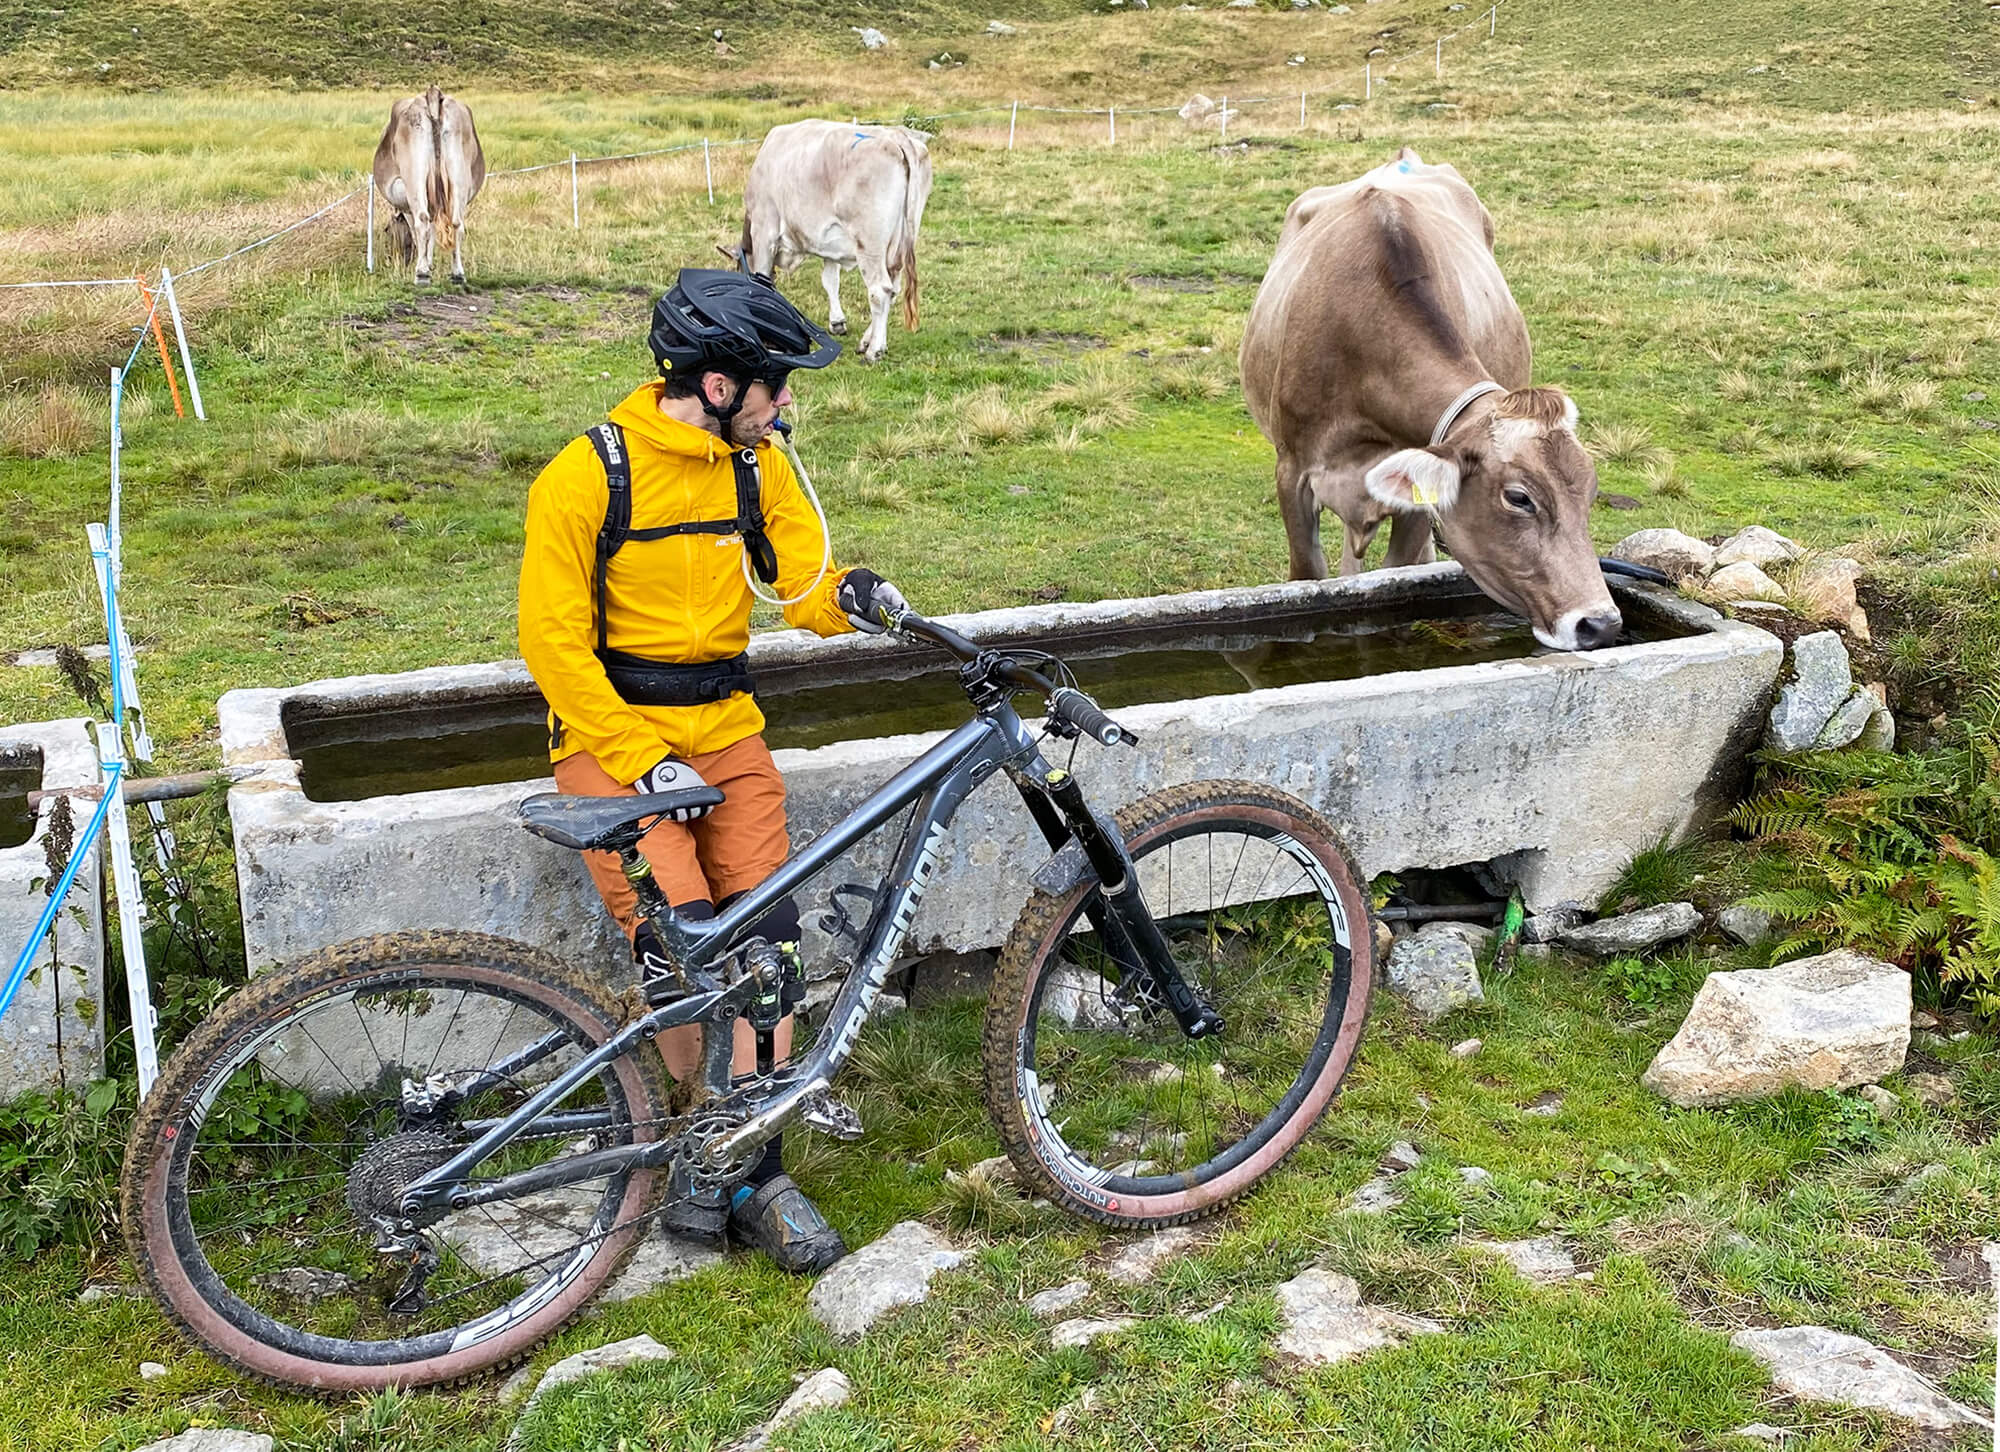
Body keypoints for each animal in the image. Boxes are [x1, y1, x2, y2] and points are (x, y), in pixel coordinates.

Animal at [374, 86, 486, 288]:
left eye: (387, 230)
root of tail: (433, 93)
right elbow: (433, 233)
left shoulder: (408, 207)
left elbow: (420, 233)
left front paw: (425, 264)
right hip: (459, 175)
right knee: (457, 223)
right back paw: (457, 274)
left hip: (414, 176)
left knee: (422, 220)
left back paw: (421, 274)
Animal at [724, 122, 932, 366]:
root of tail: (896, 136)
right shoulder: (829, 247)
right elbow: (830, 281)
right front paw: (837, 322)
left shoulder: (764, 230)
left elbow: (762, 278)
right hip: (900, 242)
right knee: (893, 288)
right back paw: (867, 341)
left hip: (870, 245)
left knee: (880, 291)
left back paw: (874, 351)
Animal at [1240, 146, 1616, 648]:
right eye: (1519, 498)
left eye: (1591, 493)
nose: (1600, 622)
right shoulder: (1292, 471)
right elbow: (1309, 579)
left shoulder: (1421, 499)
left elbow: (1390, 578)